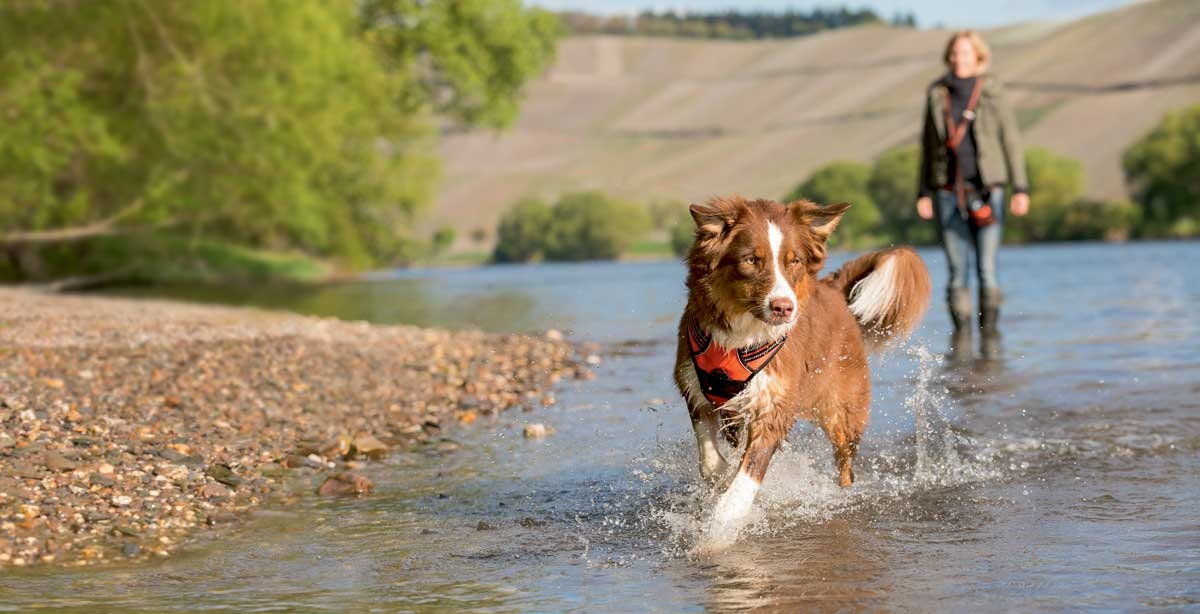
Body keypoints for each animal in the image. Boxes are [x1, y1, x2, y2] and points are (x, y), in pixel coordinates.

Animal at [672, 195, 931, 542]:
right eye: (751, 260)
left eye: (793, 261)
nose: (784, 307)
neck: (742, 334)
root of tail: (834, 292)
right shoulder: (695, 389)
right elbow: (710, 461)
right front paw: (723, 476)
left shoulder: (773, 406)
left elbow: (745, 480)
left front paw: (720, 530)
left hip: (843, 412)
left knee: (845, 465)